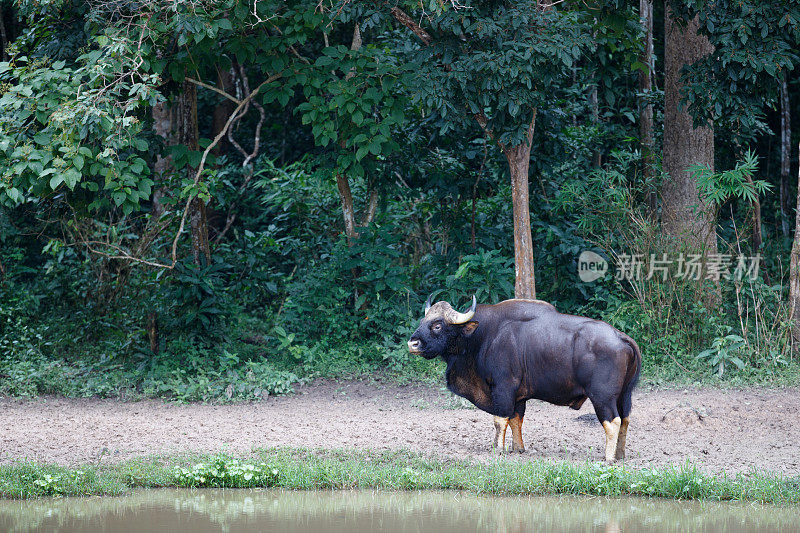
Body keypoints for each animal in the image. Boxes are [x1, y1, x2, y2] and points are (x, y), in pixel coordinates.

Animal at [410, 298, 640, 460]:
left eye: (437, 325)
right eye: (422, 321)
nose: (413, 343)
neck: (483, 336)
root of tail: (621, 337)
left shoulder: (503, 388)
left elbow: (500, 419)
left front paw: (498, 448)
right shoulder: (518, 396)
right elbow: (516, 419)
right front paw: (518, 448)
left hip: (602, 397)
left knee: (612, 421)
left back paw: (608, 457)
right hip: (625, 395)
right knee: (625, 419)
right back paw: (620, 454)